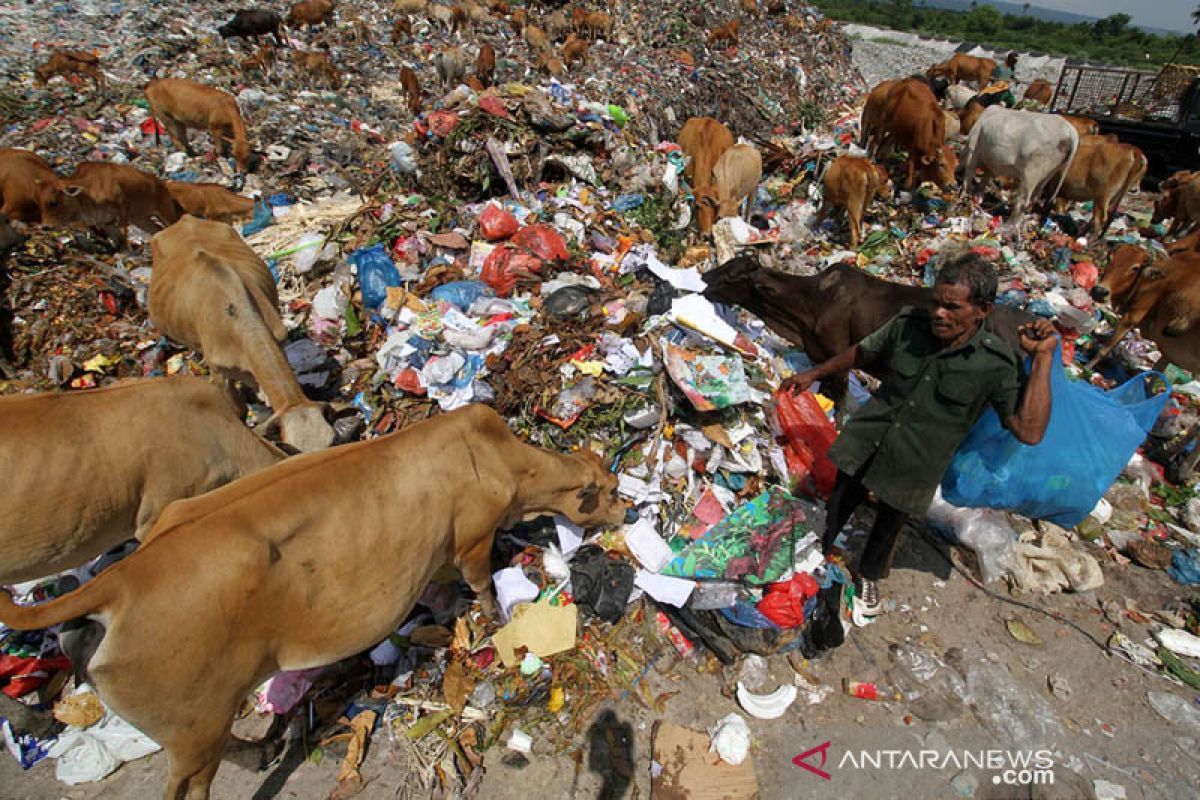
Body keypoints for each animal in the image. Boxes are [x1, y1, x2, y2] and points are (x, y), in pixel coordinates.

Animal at [0, 402, 633, 800]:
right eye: (604, 491)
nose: (628, 511)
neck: (501, 459)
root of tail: (121, 579)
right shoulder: (473, 537)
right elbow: (480, 585)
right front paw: (493, 618)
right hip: (194, 725)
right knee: (188, 785)